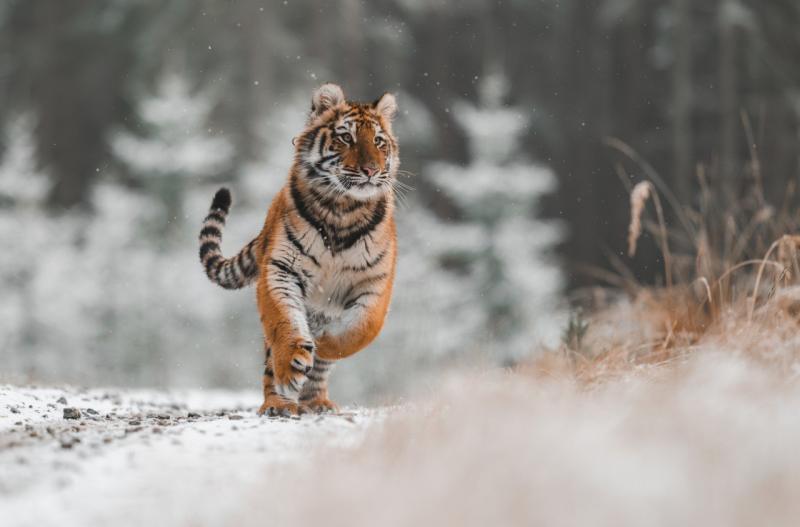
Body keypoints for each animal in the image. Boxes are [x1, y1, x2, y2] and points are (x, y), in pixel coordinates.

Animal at [198, 84, 398, 418]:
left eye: (379, 141)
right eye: (347, 137)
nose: (371, 170)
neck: (343, 209)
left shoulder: (375, 283)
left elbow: (360, 330)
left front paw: (324, 345)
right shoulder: (282, 268)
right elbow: (285, 321)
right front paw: (292, 364)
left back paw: (316, 401)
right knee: (271, 364)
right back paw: (279, 403)